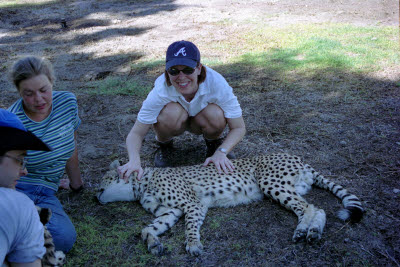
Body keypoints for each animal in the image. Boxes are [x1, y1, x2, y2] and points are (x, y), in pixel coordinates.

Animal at [96, 155, 362, 258]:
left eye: (104, 179)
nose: (95, 194)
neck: (141, 186)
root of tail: (297, 157)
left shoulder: (193, 204)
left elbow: (190, 227)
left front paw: (193, 245)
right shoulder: (171, 211)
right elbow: (148, 228)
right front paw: (153, 242)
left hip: (271, 183)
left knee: (309, 208)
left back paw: (304, 231)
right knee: (316, 208)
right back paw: (311, 231)